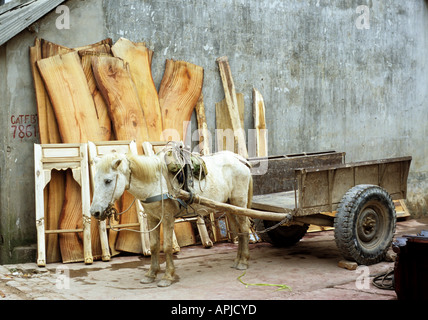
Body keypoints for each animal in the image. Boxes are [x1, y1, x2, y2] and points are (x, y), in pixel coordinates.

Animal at [89, 149, 252, 286]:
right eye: (96, 179)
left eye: (108, 180)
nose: (95, 212)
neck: (156, 183)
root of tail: (239, 159)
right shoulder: (152, 218)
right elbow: (154, 245)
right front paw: (151, 274)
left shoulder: (167, 218)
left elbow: (167, 246)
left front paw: (167, 276)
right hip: (230, 207)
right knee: (239, 231)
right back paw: (238, 260)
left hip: (239, 203)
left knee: (244, 229)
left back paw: (243, 261)